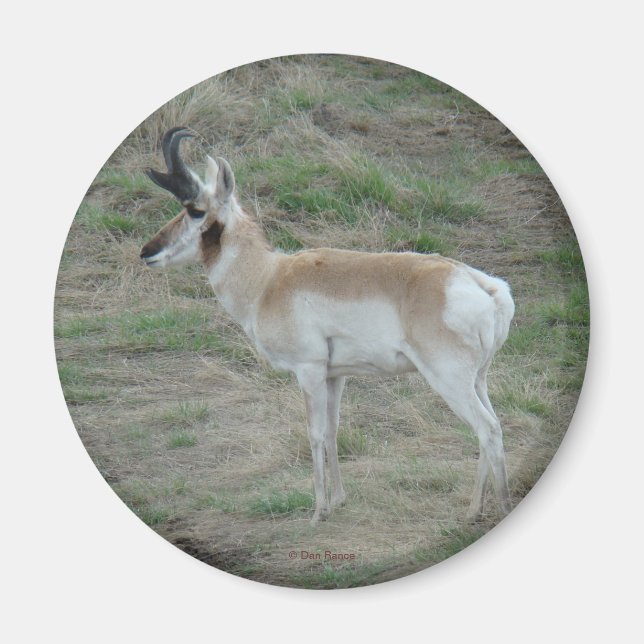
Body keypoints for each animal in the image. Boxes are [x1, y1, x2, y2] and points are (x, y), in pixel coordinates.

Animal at [140, 127, 515, 525]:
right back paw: (473, 508)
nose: (147, 252)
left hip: (449, 379)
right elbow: (334, 431)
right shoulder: (336, 375)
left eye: (195, 210)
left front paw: (318, 511)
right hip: (478, 380)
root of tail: (478, 283)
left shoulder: (309, 370)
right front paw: (338, 500)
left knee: (487, 429)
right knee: (492, 427)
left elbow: (315, 434)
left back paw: (499, 506)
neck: (269, 279)